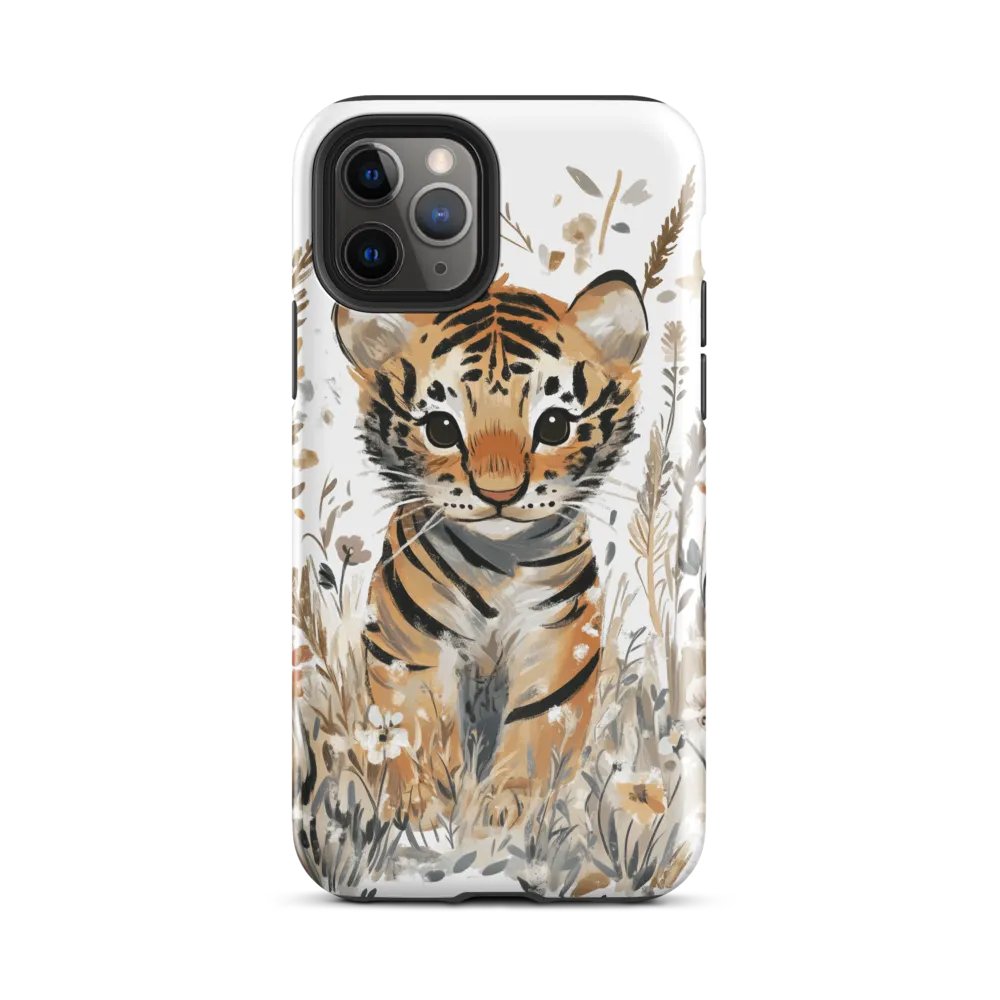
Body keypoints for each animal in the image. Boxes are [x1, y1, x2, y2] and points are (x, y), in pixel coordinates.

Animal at [333, 270, 647, 826]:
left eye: (554, 425)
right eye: (441, 428)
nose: (499, 494)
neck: (500, 565)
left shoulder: (557, 635)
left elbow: (538, 722)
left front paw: (508, 808)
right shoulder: (412, 641)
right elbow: (415, 723)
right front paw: (423, 806)